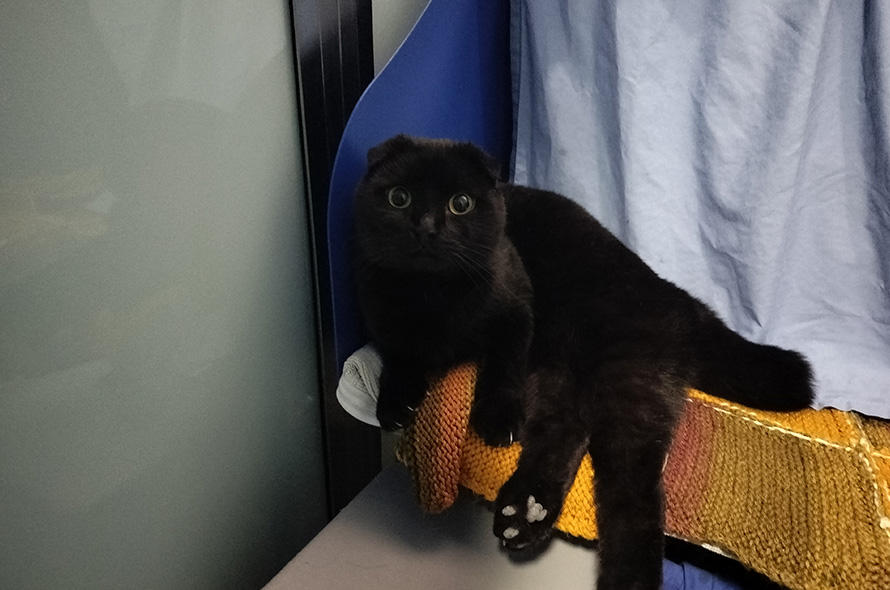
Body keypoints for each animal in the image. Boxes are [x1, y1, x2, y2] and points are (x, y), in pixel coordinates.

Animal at [352, 135, 812, 590]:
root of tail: (678, 300)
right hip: (557, 371)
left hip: (622, 379)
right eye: (398, 197)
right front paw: (393, 402)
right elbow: (399, 356)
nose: (426, 227)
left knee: (633, 492)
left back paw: (625, 579)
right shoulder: (383, 316)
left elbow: (500, 371)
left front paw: (496, 420)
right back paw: (526, 513)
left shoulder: (515, 314)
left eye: (460, 203)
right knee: (565, 430)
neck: (432, 297)